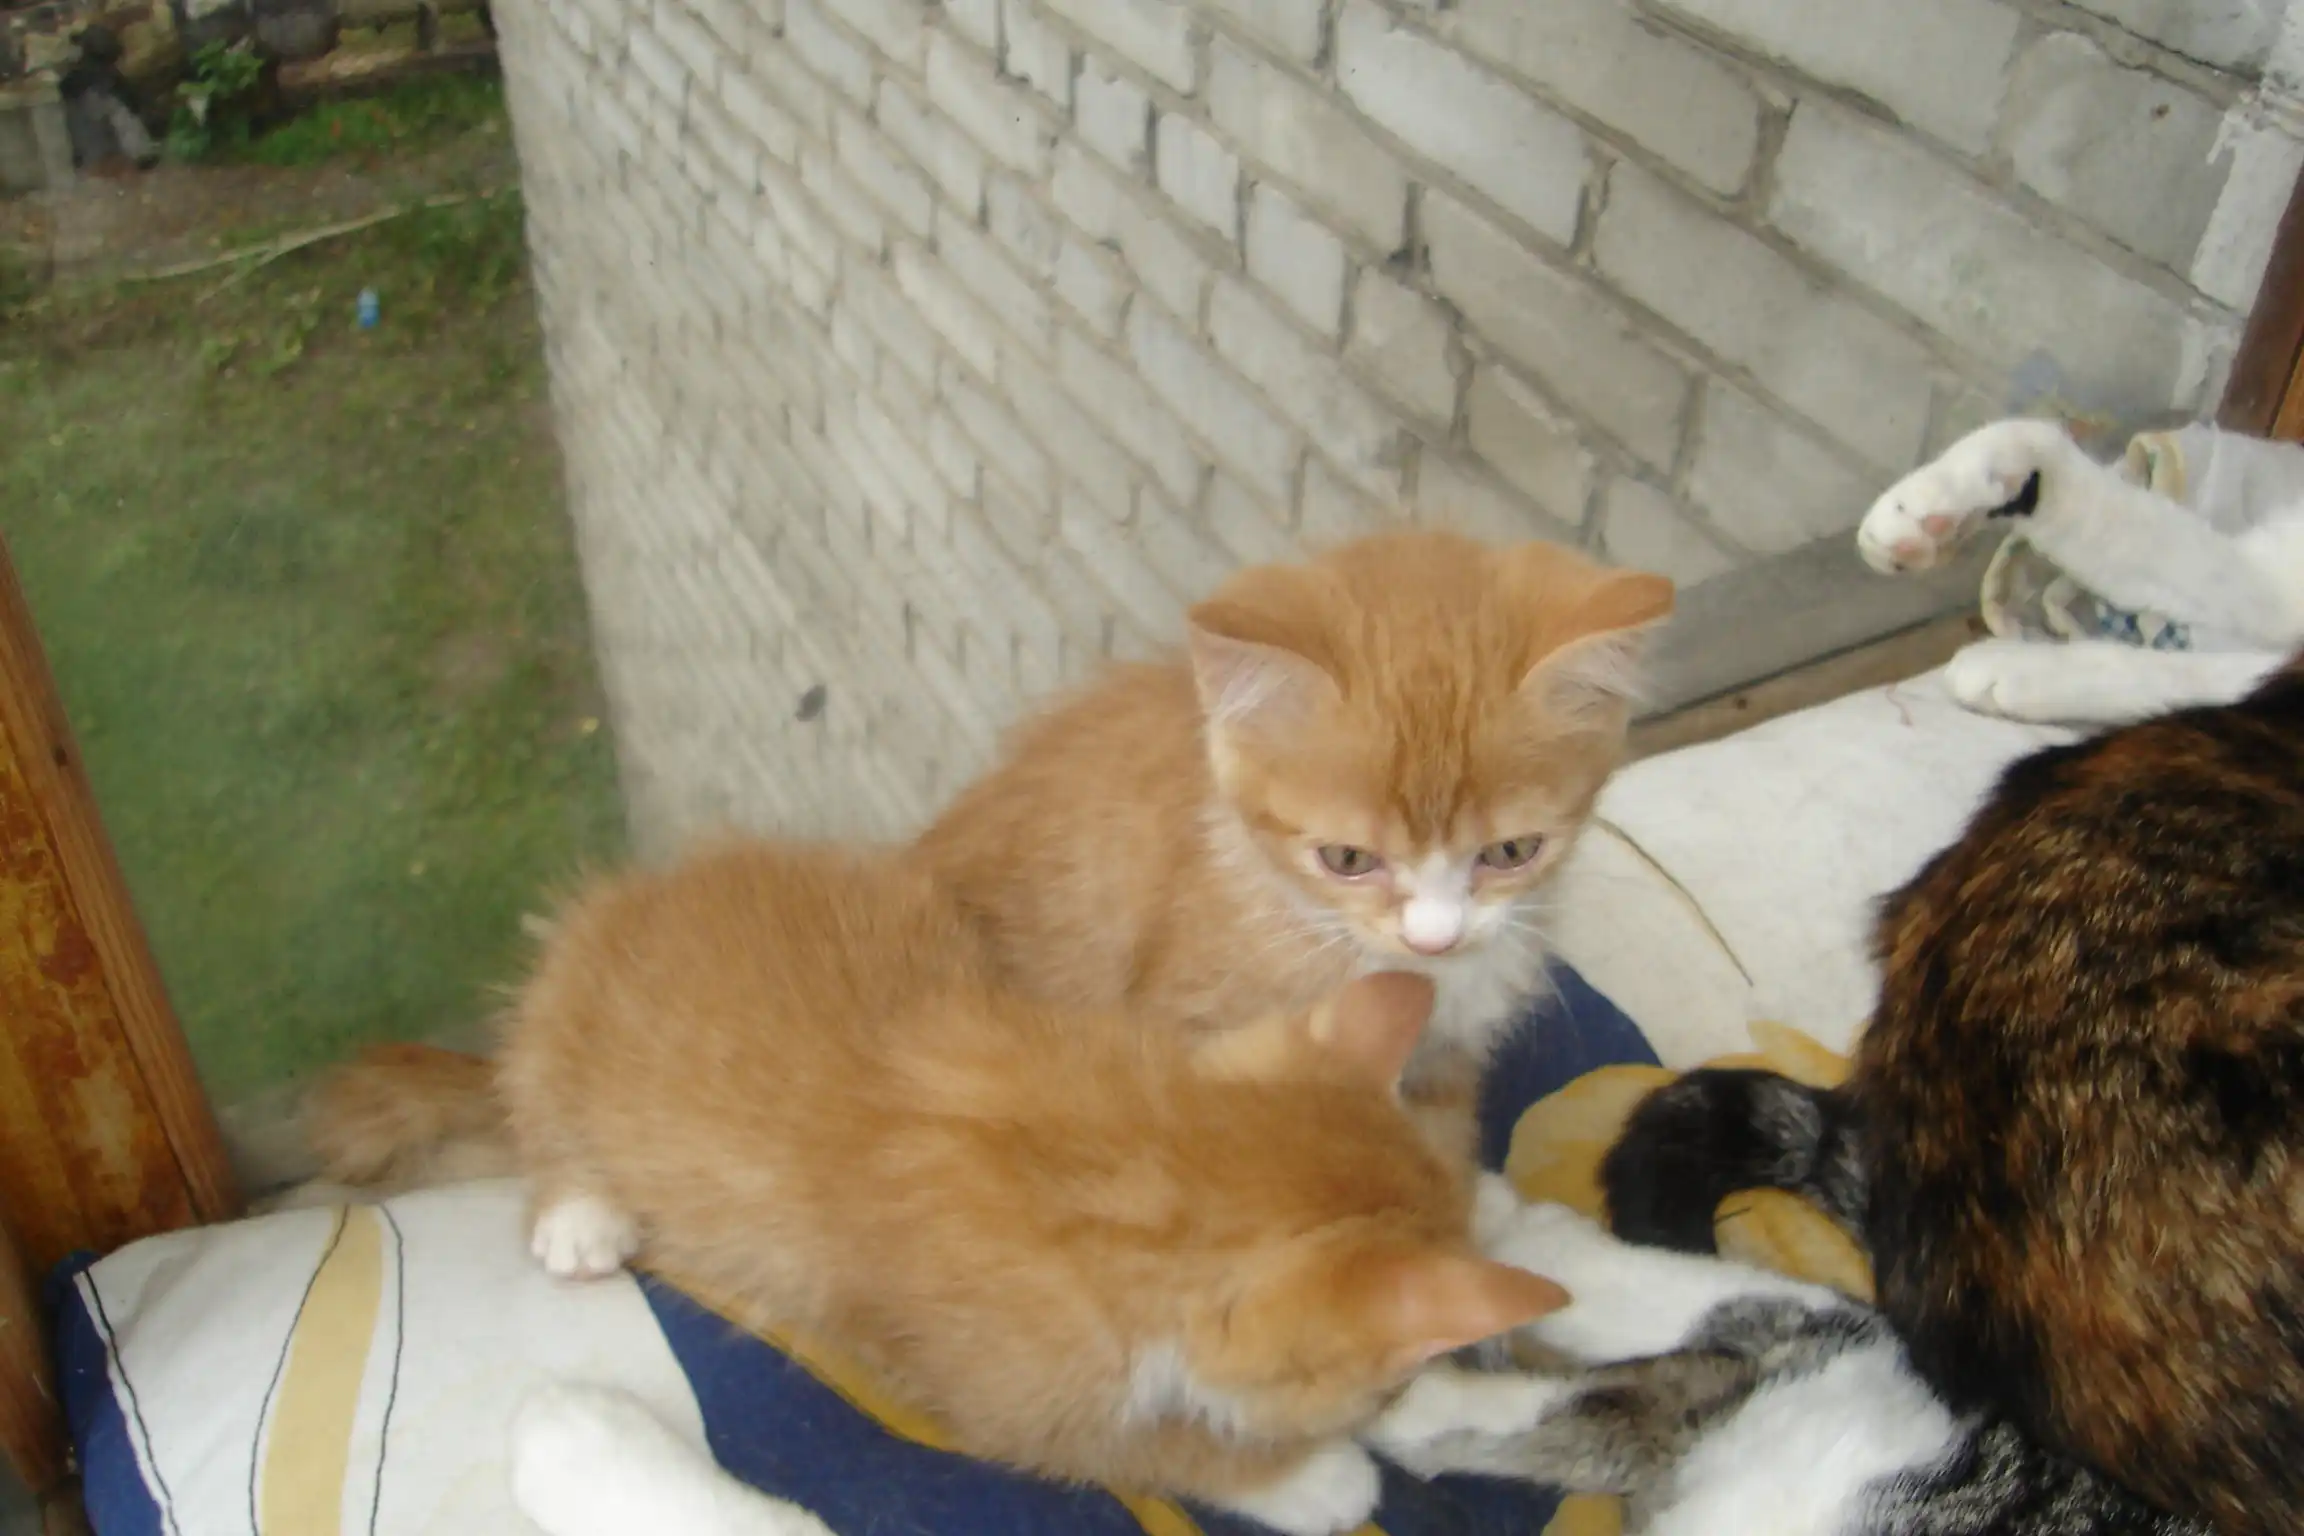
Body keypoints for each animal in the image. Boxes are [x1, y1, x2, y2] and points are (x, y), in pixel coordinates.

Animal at [305, 839, 1569, 1534]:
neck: (1118, 1149)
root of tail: (611, 909)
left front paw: (1465, 1382)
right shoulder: (988, 1390)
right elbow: (1130, 1445)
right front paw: (1307, 1476)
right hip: (566, 1014)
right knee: (536, 1097)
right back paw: (579, 1211)